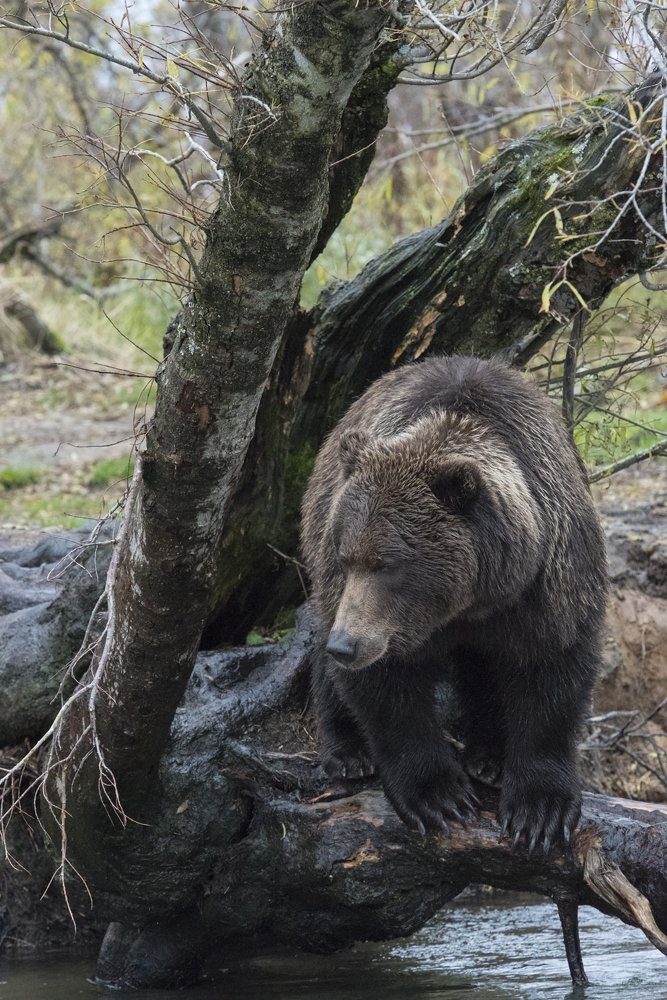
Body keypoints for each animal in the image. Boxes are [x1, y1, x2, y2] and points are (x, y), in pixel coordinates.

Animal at [301, 354, 608, 852]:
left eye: (387, 564)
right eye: (350, 557)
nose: (345, 645)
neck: (470, 597)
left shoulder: (545, 583)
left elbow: (553, 670)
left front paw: (540, 810)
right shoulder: (379, 616)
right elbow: (389, 690)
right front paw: (438, 796)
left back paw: (490, 755)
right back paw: (348, 750)